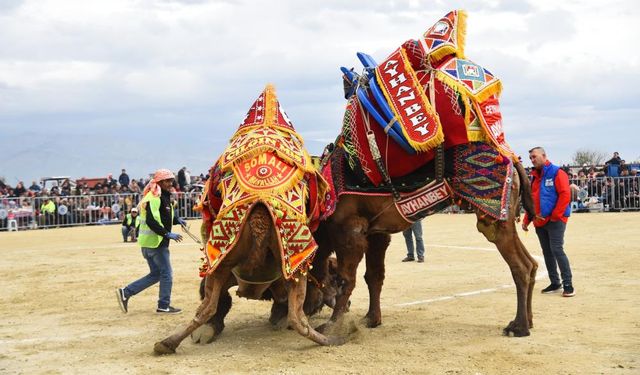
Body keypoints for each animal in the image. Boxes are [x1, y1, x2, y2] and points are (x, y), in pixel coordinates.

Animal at [304, 9, 540, 338]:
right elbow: (373, 276)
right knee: (531, 264)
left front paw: (333, 327)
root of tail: (515, 160)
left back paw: (518, 326)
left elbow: (346, 279)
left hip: (494, 213)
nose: (304, 308)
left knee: (520, 266)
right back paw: (526, 321)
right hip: (505, 217)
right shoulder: (377, 233)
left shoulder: (350, 229)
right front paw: (371, 318)